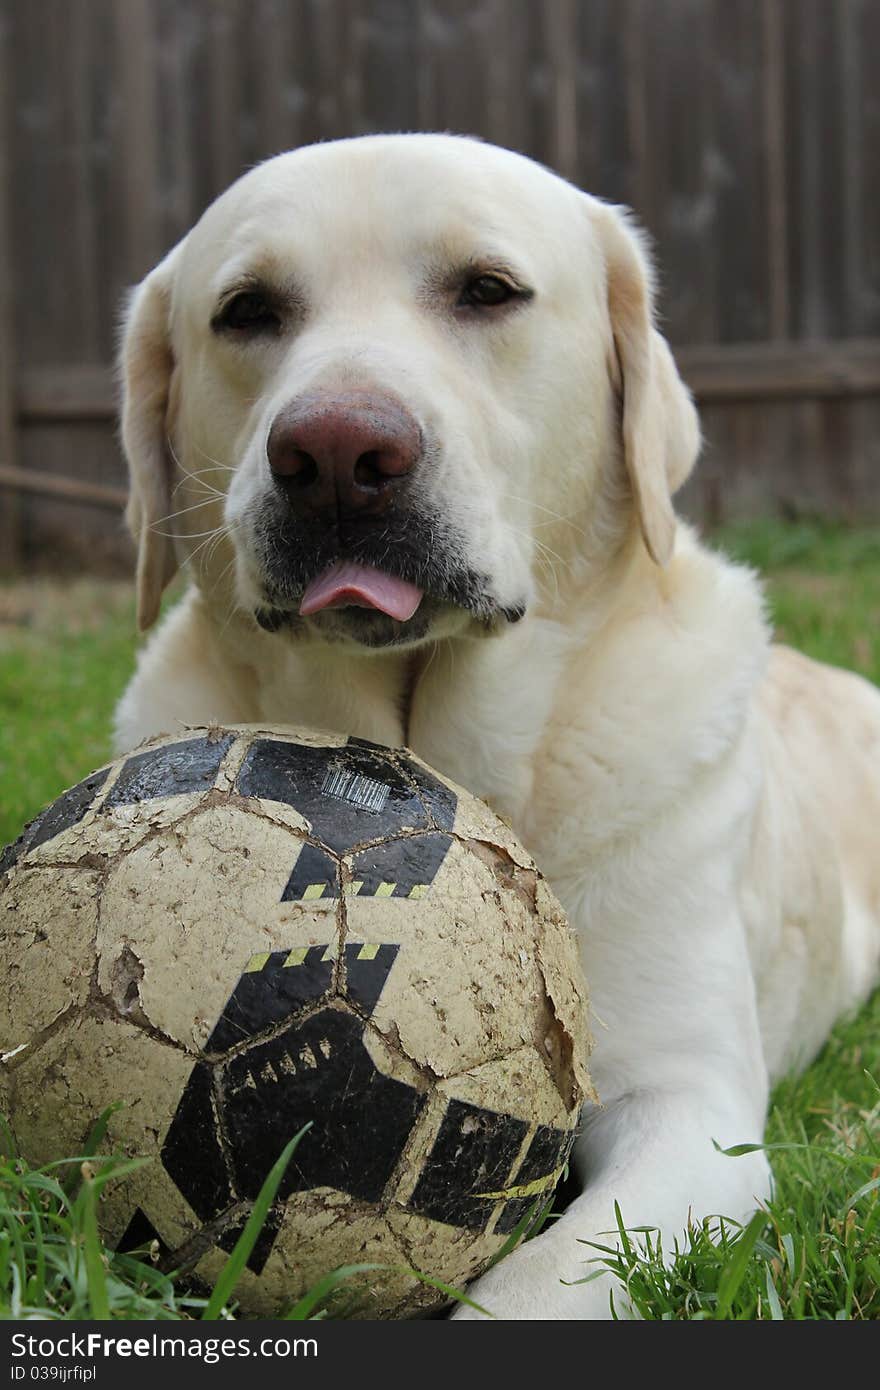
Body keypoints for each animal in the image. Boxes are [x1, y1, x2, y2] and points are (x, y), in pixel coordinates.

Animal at [114, 135, 878, 1317]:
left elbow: (533, 1282)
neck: (437, 749)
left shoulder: (687, 1107)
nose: (337, 452)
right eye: (246, 312)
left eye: (487, 290)